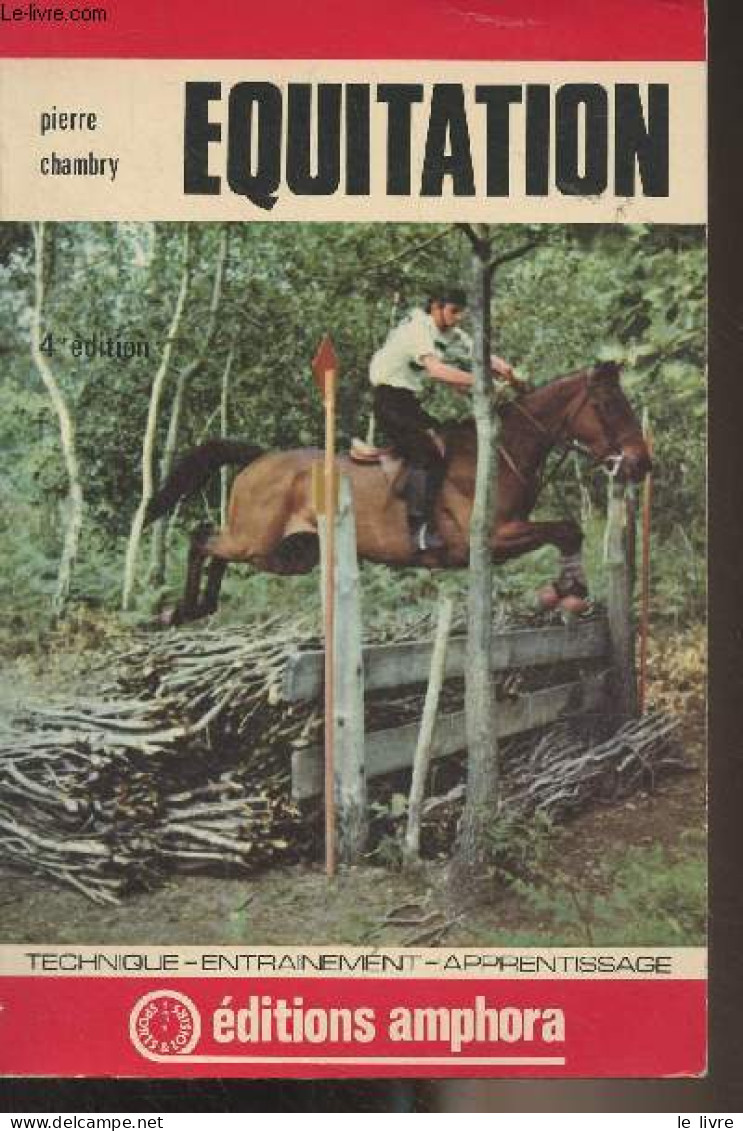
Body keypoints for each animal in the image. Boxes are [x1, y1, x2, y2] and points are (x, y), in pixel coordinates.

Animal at [144, 361, 651, 624]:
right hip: (255, 539)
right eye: (608, 405)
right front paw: (569, 588)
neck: (501, 453)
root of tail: (260, 458)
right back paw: (183, 610)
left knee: (218, 553)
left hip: (287, 554)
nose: (642, 462)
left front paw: (569, 587)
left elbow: (567, 530)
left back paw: (200, 607)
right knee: (202, 539)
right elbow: (565, 529)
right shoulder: (490, 538)